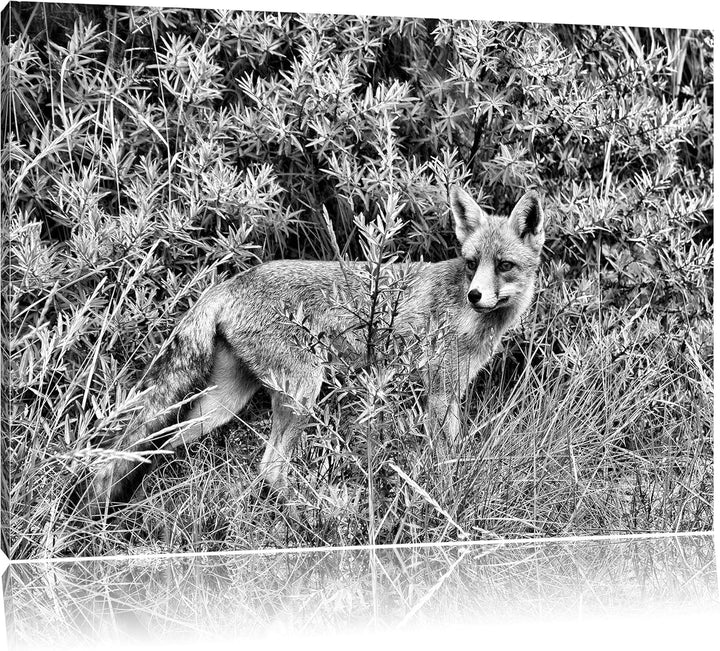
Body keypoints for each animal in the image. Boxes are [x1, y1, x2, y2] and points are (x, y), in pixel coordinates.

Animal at [79, 186, 545, 515]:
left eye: (504, 265)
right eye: (471, 263)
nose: (475, 295)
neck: (471, 321)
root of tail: (229, 282)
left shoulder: (449, 390)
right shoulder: (440, 390)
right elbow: (445, 458)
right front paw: (445, 497)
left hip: (224, 403)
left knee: (159, 445)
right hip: (304, 388)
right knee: (270, 467)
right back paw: (315, 513)